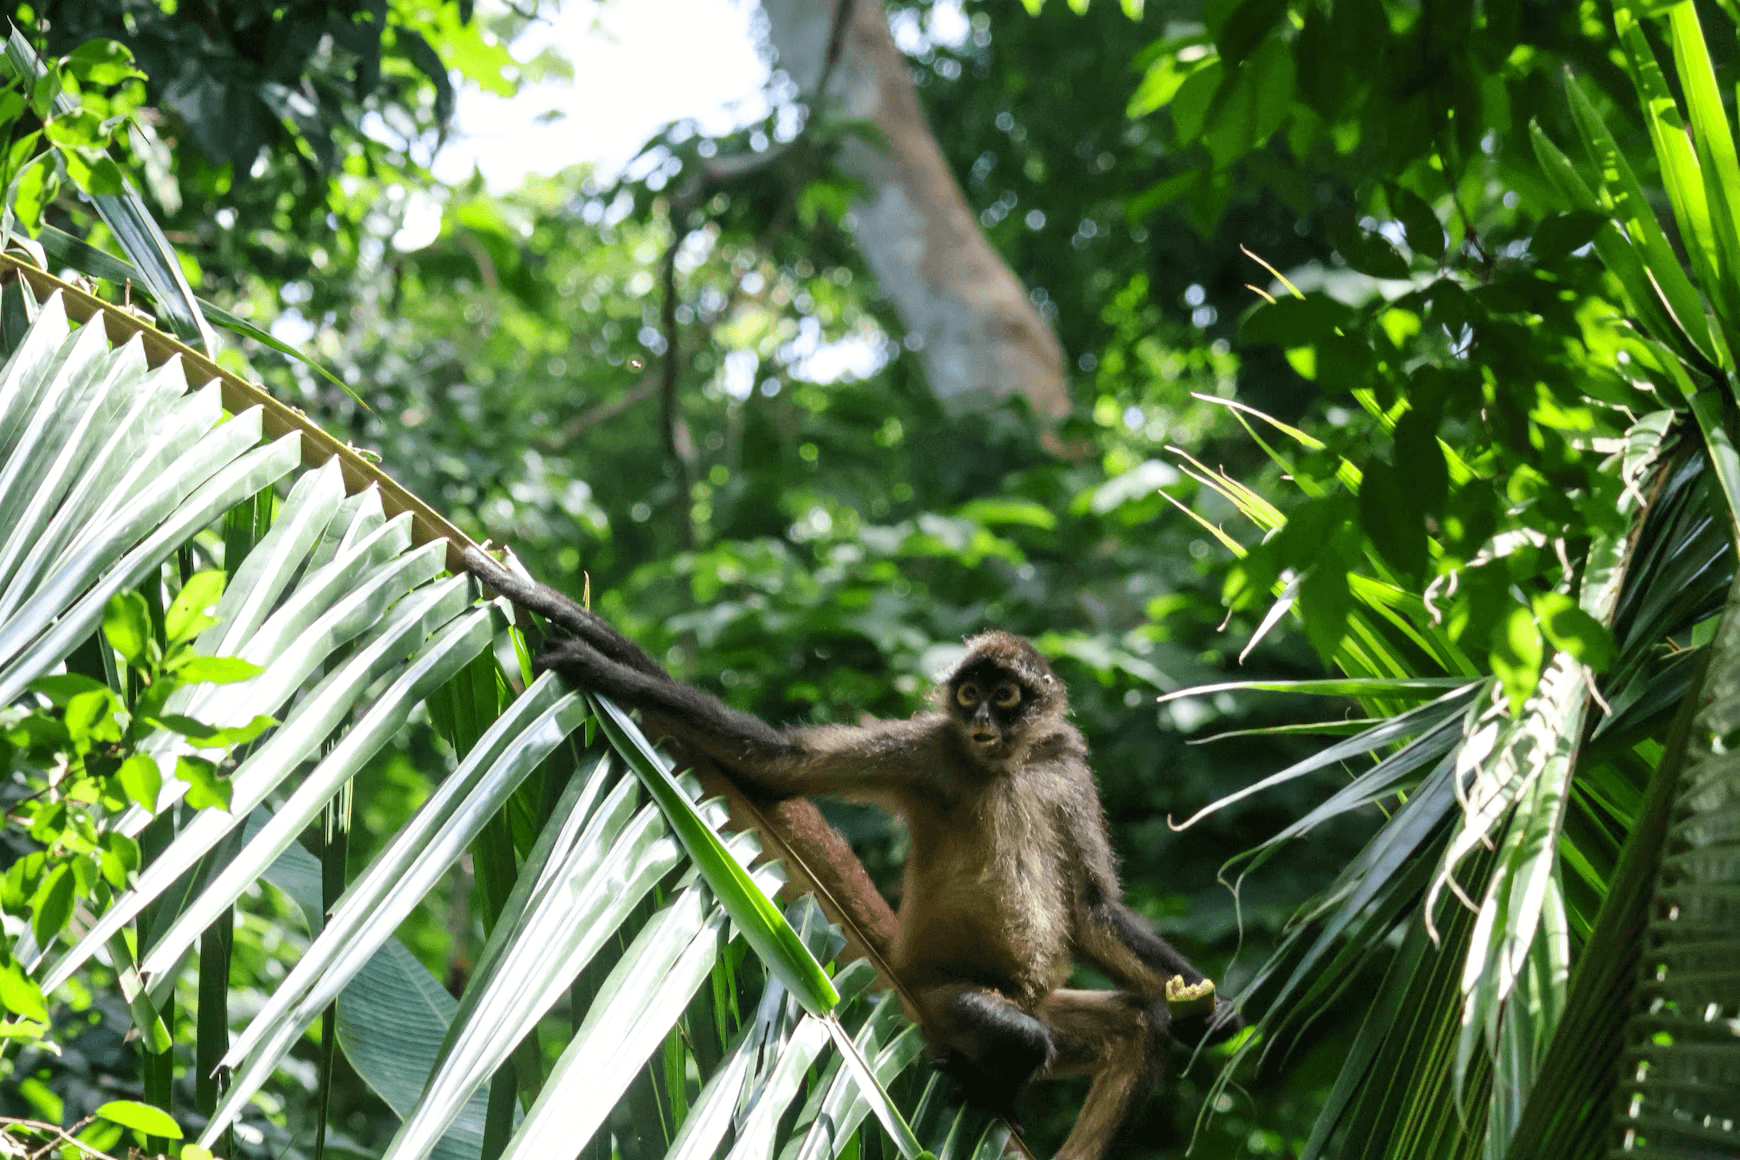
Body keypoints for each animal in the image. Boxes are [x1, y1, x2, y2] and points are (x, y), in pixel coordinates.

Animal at [462, 547, 1239, 1160]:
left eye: (1006, 695)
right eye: (969, 695)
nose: (984, 718)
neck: (1005, 767)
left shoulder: (1066, 765)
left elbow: (1092, 907)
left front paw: (1211, 1007)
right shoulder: (930, 749)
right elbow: (780, 761)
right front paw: (565, 626)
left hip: (1045, 1004)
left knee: (1139, 1028)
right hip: (941, 1002)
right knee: (1023, 1038)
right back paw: (990, 1083)